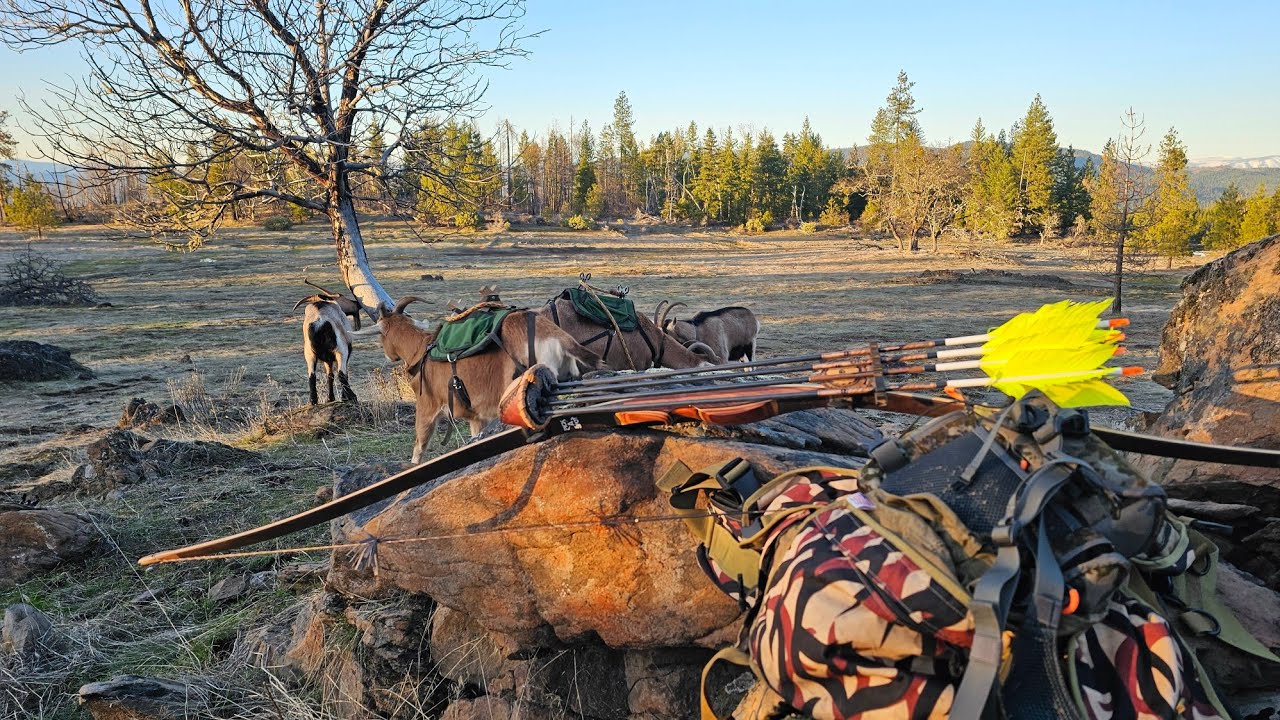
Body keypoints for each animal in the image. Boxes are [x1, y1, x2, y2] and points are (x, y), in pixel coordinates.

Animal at [356, 297, 604, 463]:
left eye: (381, 336)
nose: (388, 356)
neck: (422, 348)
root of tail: (555, 335)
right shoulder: (477, 417)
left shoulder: (427, 407)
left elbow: (419, 447)